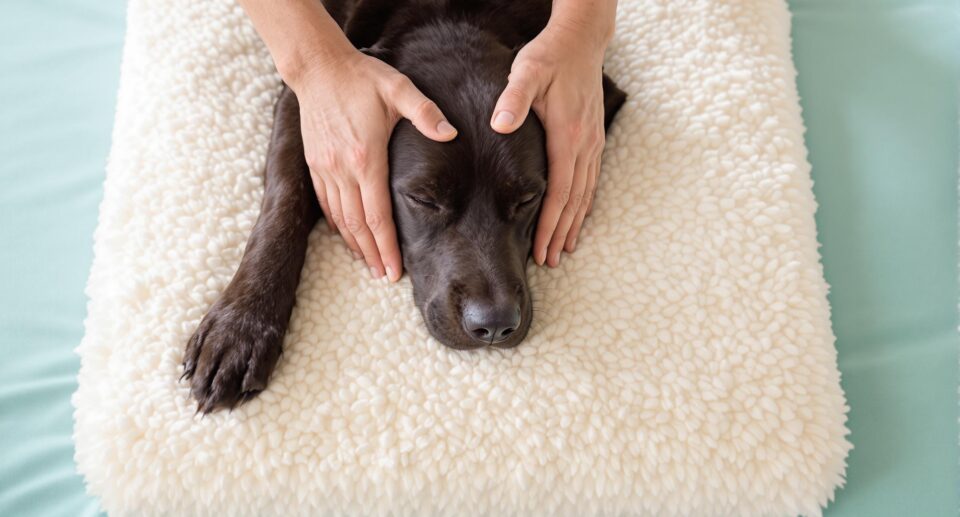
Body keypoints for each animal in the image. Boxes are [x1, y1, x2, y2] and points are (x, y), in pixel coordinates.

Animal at [183, 0, 628, 412]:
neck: (451, 14)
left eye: (528, 198)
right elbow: (286, 197)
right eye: (422, 199)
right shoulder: (307, 101)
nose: (494, 325)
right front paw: (241, 326)